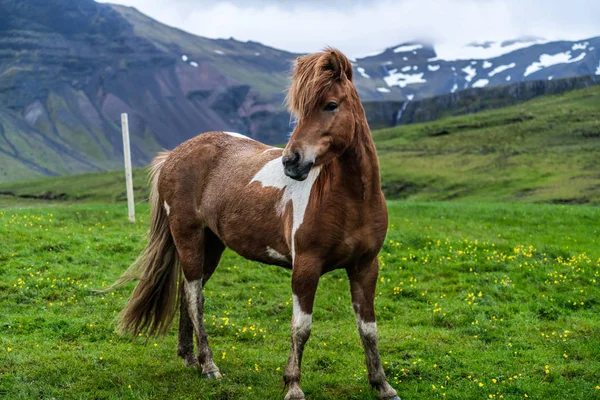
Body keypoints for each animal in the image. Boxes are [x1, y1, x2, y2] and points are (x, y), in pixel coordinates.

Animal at [115, 47, 400, 400]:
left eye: (331, 105)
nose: (291, 161)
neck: (351, 201)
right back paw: (209, 366)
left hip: (212, 245)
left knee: (186, 293)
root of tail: (174, 155)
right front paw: (293, 385)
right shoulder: (306, 267)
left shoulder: (365, 267)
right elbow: (301, 328)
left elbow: (368, 329)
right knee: (195, 298)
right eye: (300, 110)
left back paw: (190, 358)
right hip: (188, 237)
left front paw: (382, 384)